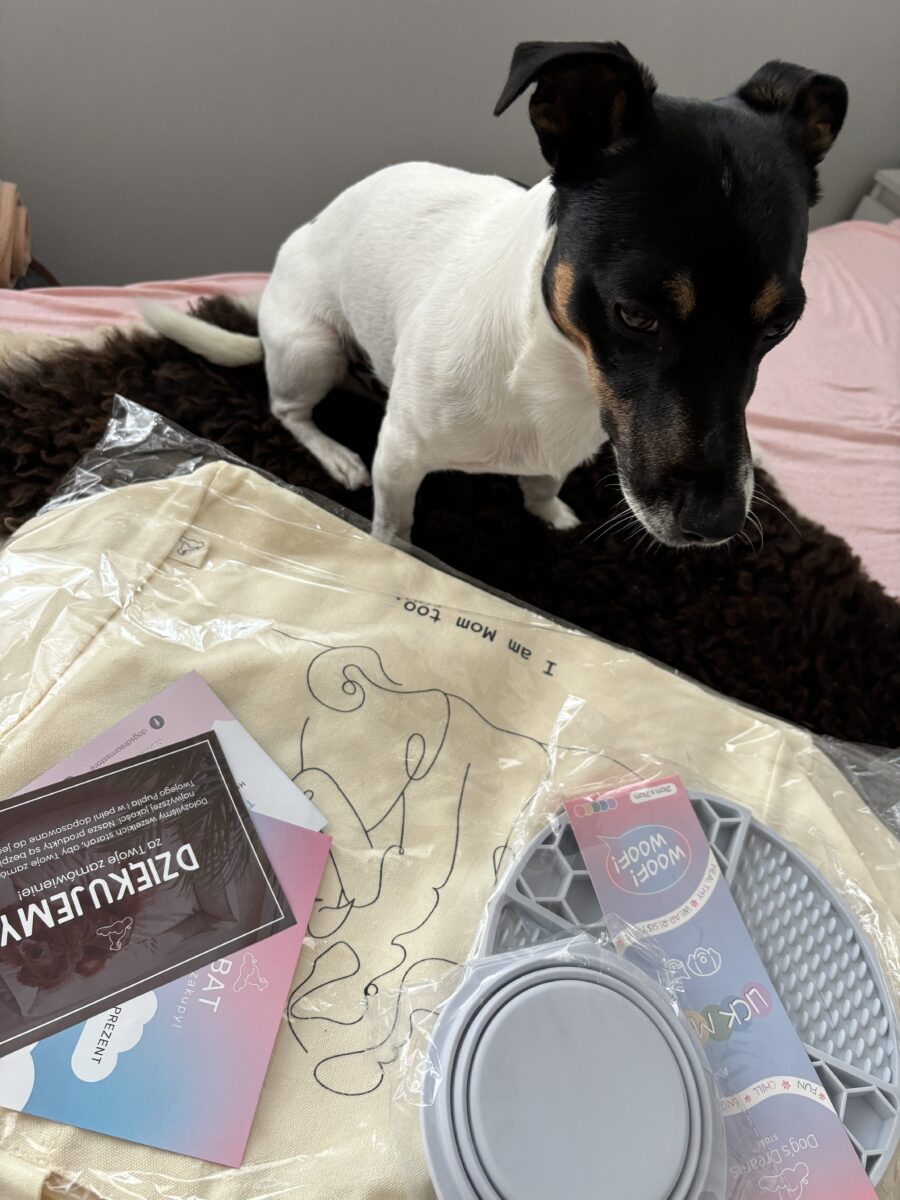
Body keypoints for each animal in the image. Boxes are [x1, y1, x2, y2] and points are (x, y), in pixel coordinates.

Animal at [143, 41, 846, 546]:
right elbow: (394, 526)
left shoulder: (566, 449)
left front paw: (548, 511)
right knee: (287, 410)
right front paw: (393, 556)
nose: (717, 528)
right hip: (312, 347)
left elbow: (540, 483)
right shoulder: (398, 460)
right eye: (635, 315)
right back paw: (336, 455)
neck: (557, 369)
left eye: (781, 326)